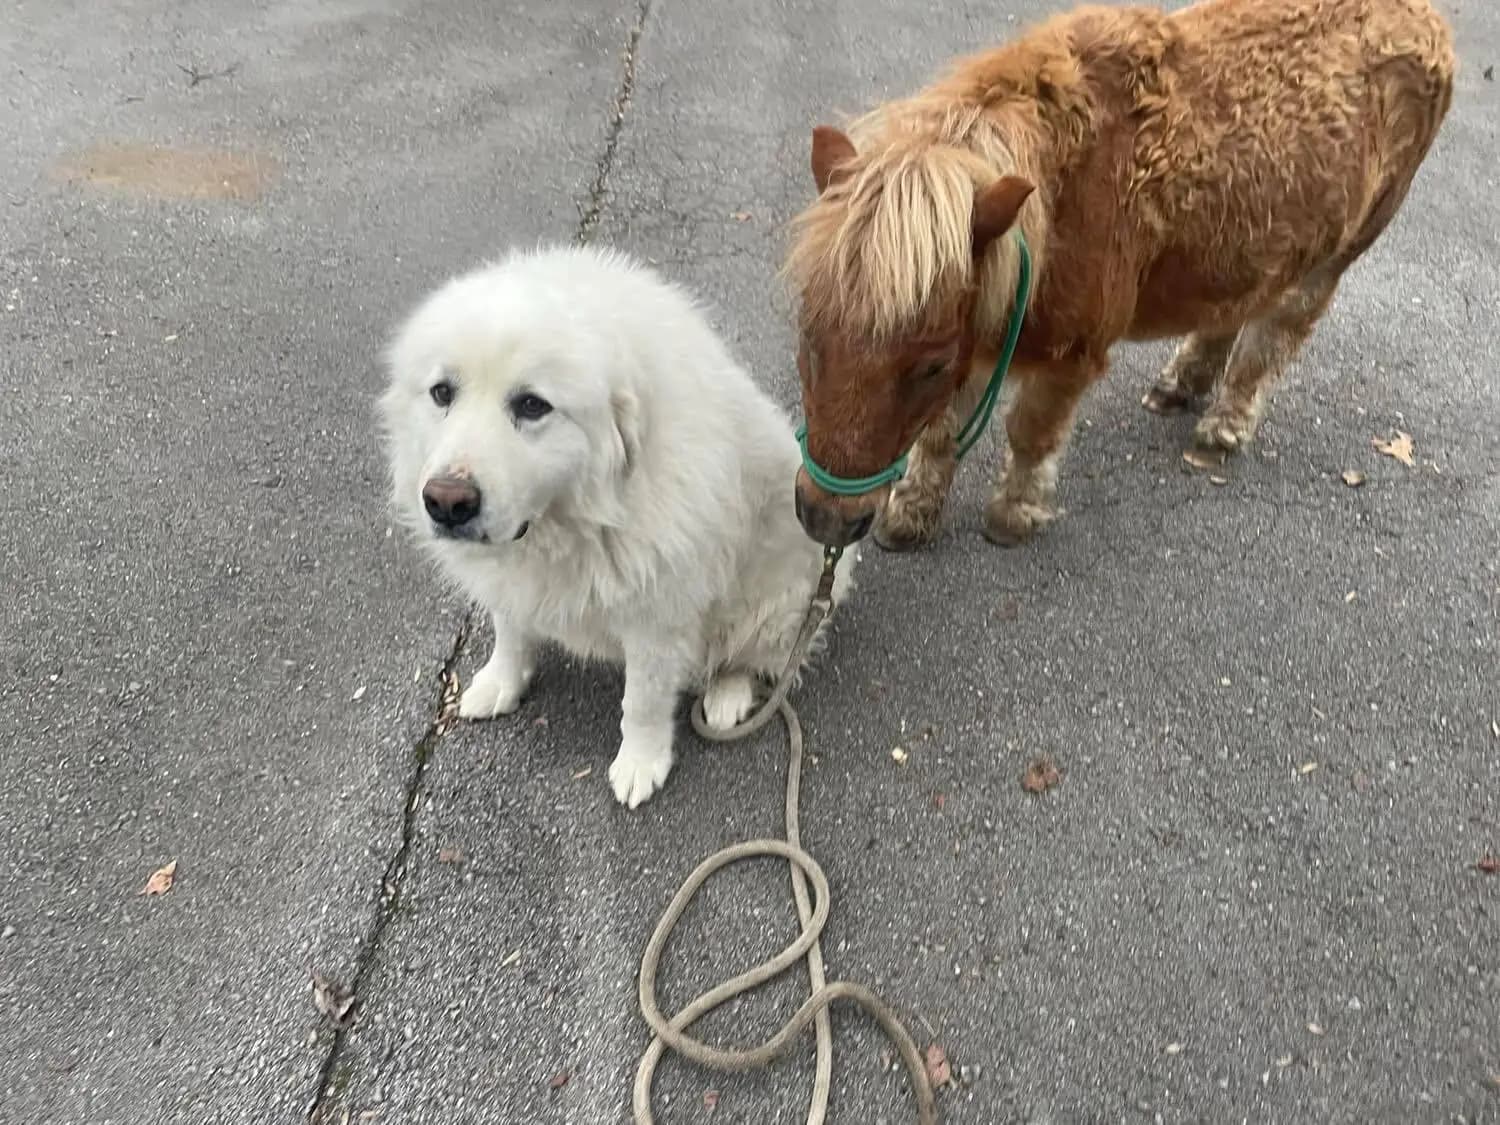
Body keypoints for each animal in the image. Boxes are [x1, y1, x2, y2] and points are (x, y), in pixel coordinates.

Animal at [784, 0, 1454, 551]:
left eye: (927, 365)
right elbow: (940, 433)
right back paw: (1179, 385)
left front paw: (1013, 517)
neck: (1055, 197)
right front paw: (910, 516)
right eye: (809, 336)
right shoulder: (978, 328)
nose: (827, 521)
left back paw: (1222, 428)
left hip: (1343, 250)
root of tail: (1426, 18)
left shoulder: (1071, 354)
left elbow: (1031, 433)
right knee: (1233, 311)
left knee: (1276, 336)